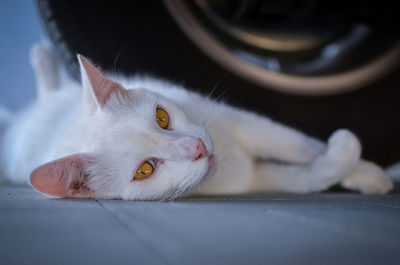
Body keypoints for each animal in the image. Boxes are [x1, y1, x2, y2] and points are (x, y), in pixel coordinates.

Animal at [0, 43, 394, 199]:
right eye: (145, 170)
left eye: (162, 117)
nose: (199, 148)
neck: (233, 162)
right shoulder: (255, 179)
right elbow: (309, 176)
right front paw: (346, 155)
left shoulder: (245, 123)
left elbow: (299, 145)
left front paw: (369, 174)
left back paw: (43, 57)